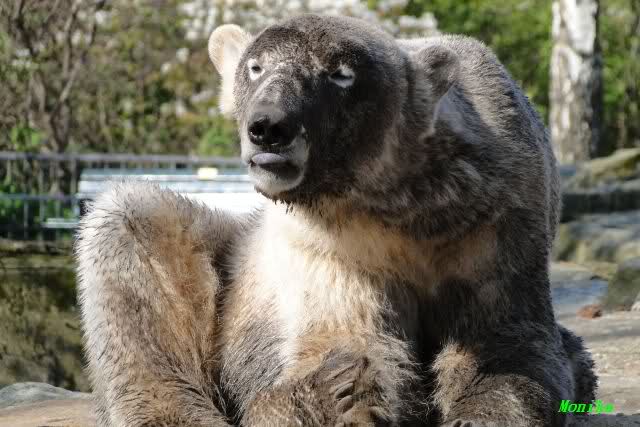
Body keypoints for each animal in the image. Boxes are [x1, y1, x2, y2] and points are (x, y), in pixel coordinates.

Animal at [76, 13, 597, 426]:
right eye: (255, 66)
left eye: (341, 74)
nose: (269, 127)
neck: (397, 208)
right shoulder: (331, 248)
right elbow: (344, 339)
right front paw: (337, 391)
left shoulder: (497, 217)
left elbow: (505, 337)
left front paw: (484, 409)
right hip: (228, 257)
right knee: (133, 231)